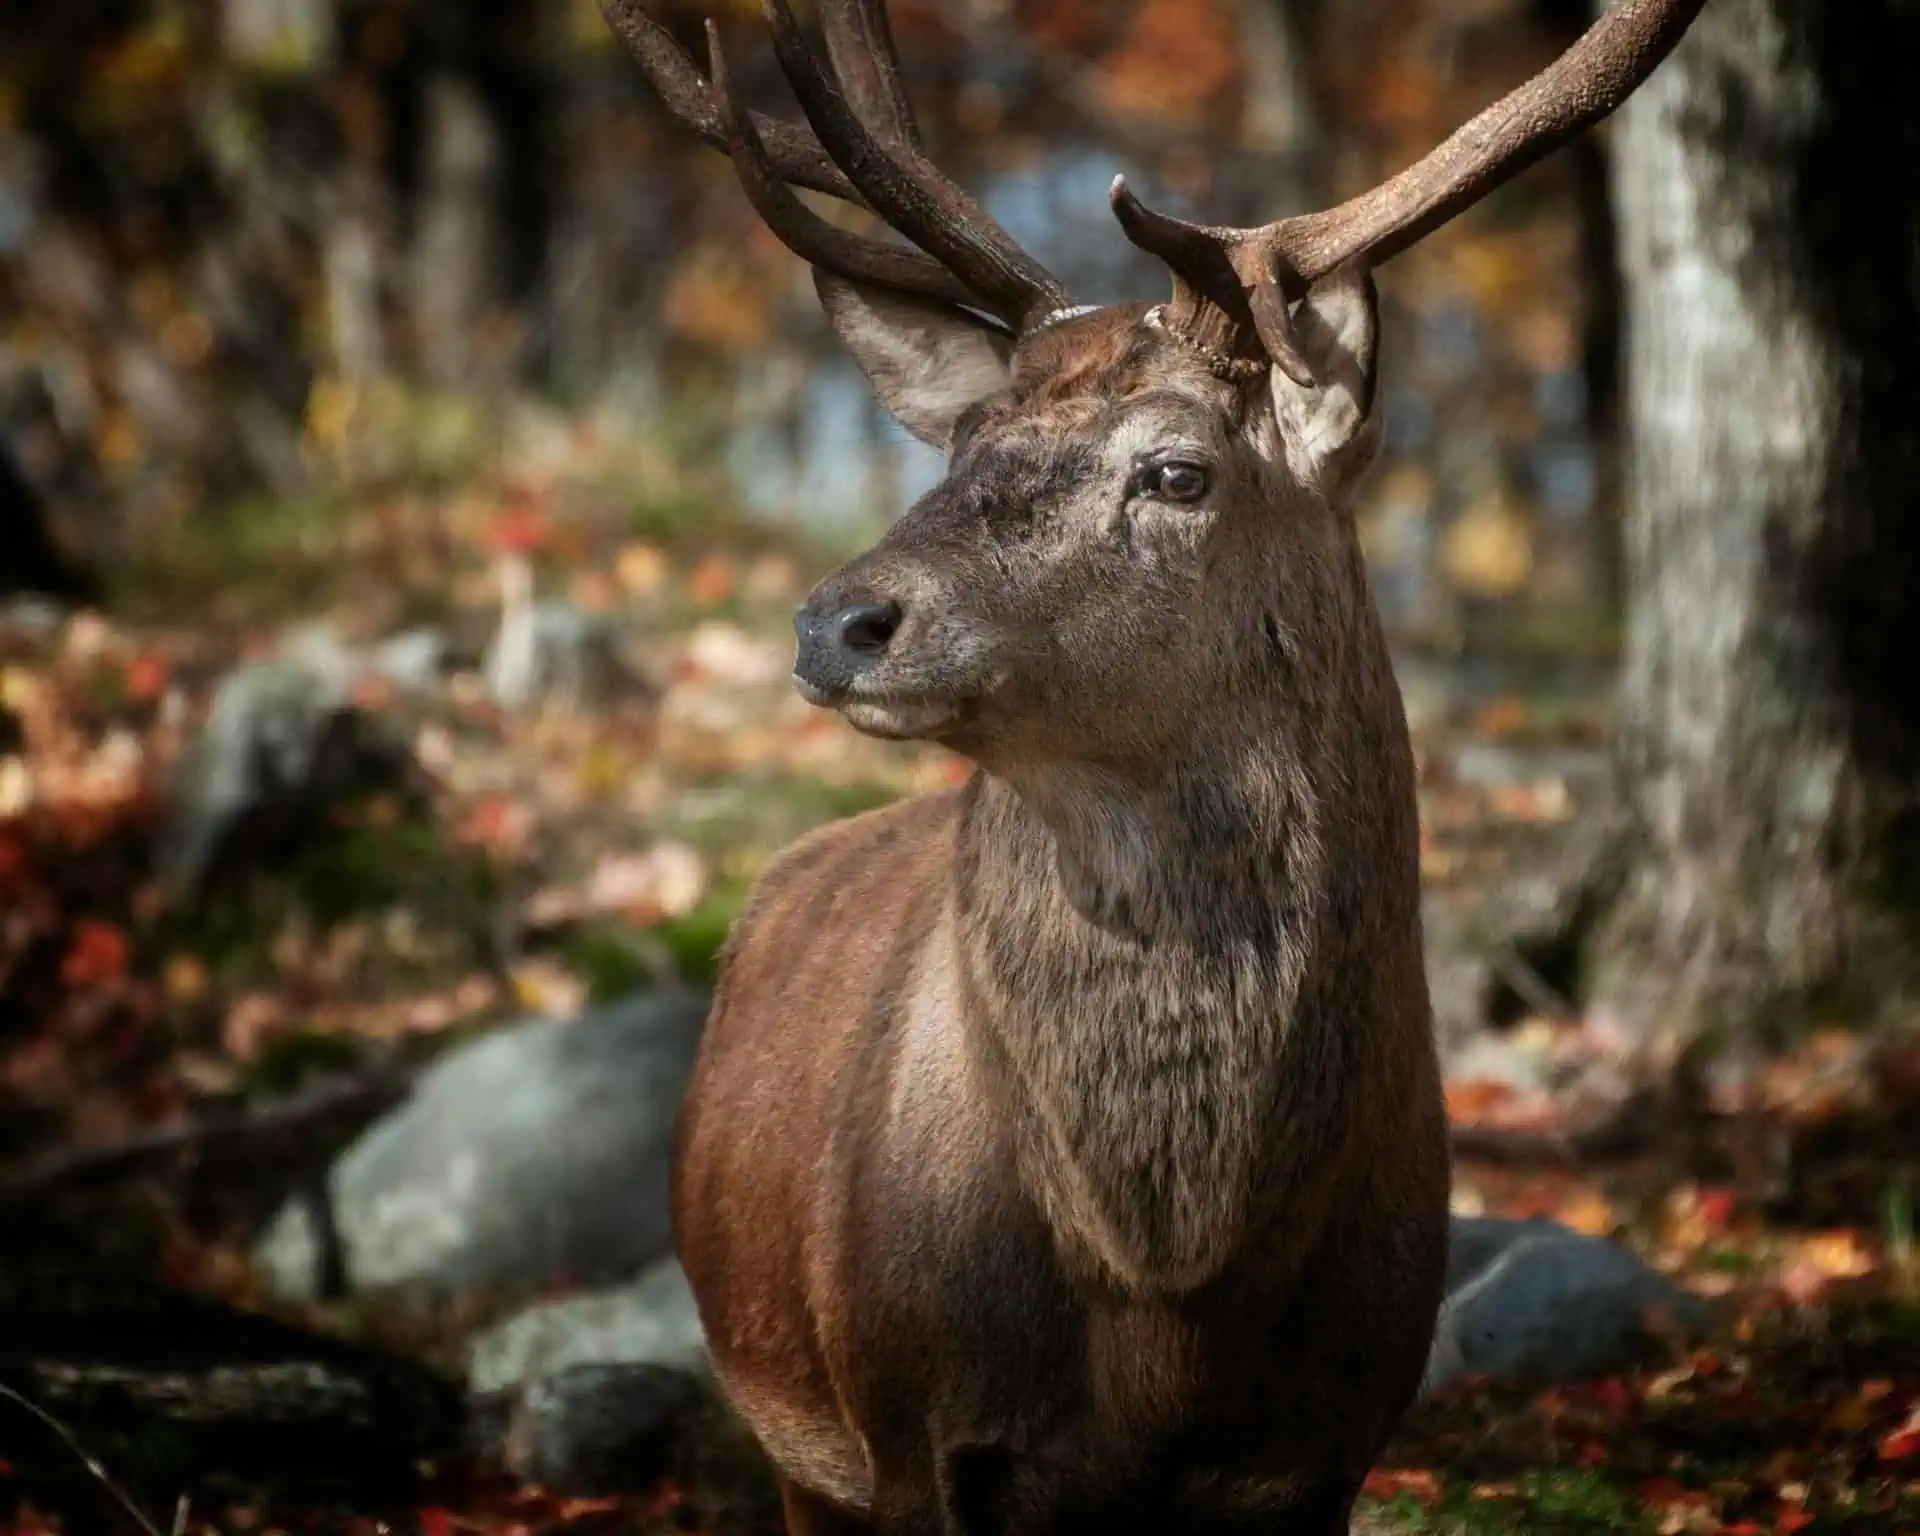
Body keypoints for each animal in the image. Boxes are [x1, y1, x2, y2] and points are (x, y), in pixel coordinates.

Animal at [599, 2, 1707, 1531]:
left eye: (1179, 472)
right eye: (961, 444)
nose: (838, 621)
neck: (1170, 1302)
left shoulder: (1336, 1432)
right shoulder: (907, 1423)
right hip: (788, 1436)